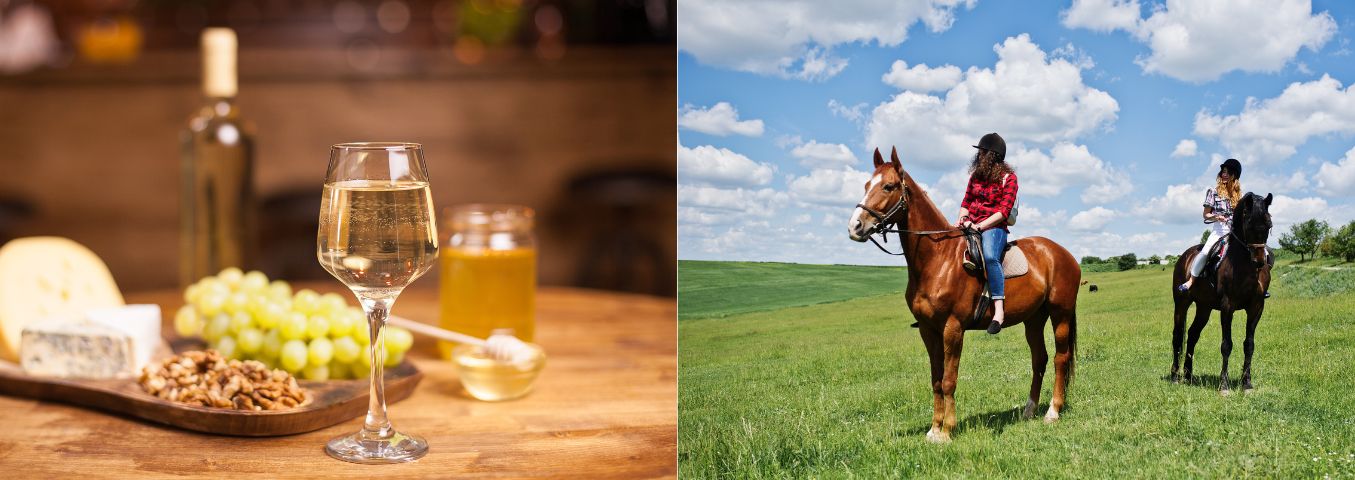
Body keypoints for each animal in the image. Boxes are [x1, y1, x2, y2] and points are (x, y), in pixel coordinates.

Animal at [845, 146, 1078, 442]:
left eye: (888, 186)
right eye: (867, 185)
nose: (855, 226)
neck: (938, 259)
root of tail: (1063, 253)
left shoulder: (952, 328)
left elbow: (948, 380)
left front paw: (947, 431)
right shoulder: (928, 330)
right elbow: (935, 379)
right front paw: (934, 429)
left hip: (1061, 315)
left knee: (1061, 358)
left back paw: (1053, 412)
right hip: (1034, 319)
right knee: (1040, 359)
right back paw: (1029, 410)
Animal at [1170, 191, 1273, 393]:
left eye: (1269, 224)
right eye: (1249, 223)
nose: (1259, 262)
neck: (1244, 264)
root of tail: (1185, 256)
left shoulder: (1257, 306)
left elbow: (1249, 345)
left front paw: (1247, 383)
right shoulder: (1227, 306)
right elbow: (1226, 345)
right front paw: (1224, 385)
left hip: (1204, 308)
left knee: (1192, 335)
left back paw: (1188, 375)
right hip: (1181, 304)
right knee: (1178, 336)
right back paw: (1175, 376)